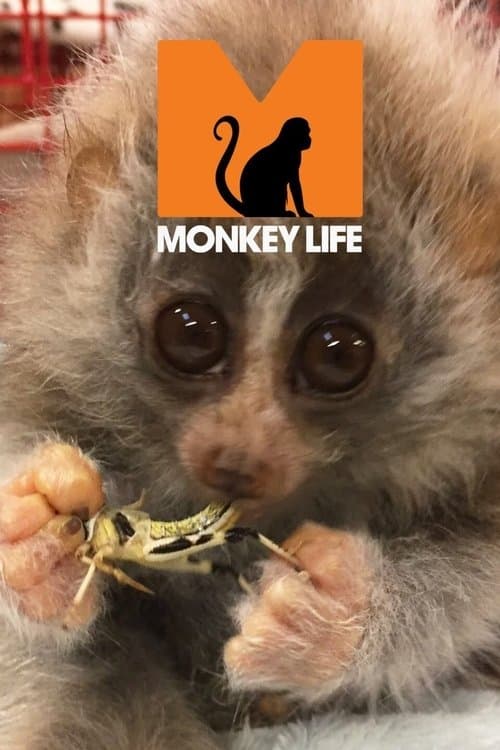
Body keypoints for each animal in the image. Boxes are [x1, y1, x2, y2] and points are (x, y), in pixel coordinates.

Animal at [0, 1, 500, 749]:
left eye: (338, 354)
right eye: (190, 333)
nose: (238, 457)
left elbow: (482, 580)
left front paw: (332, 613)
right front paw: (33, 529)